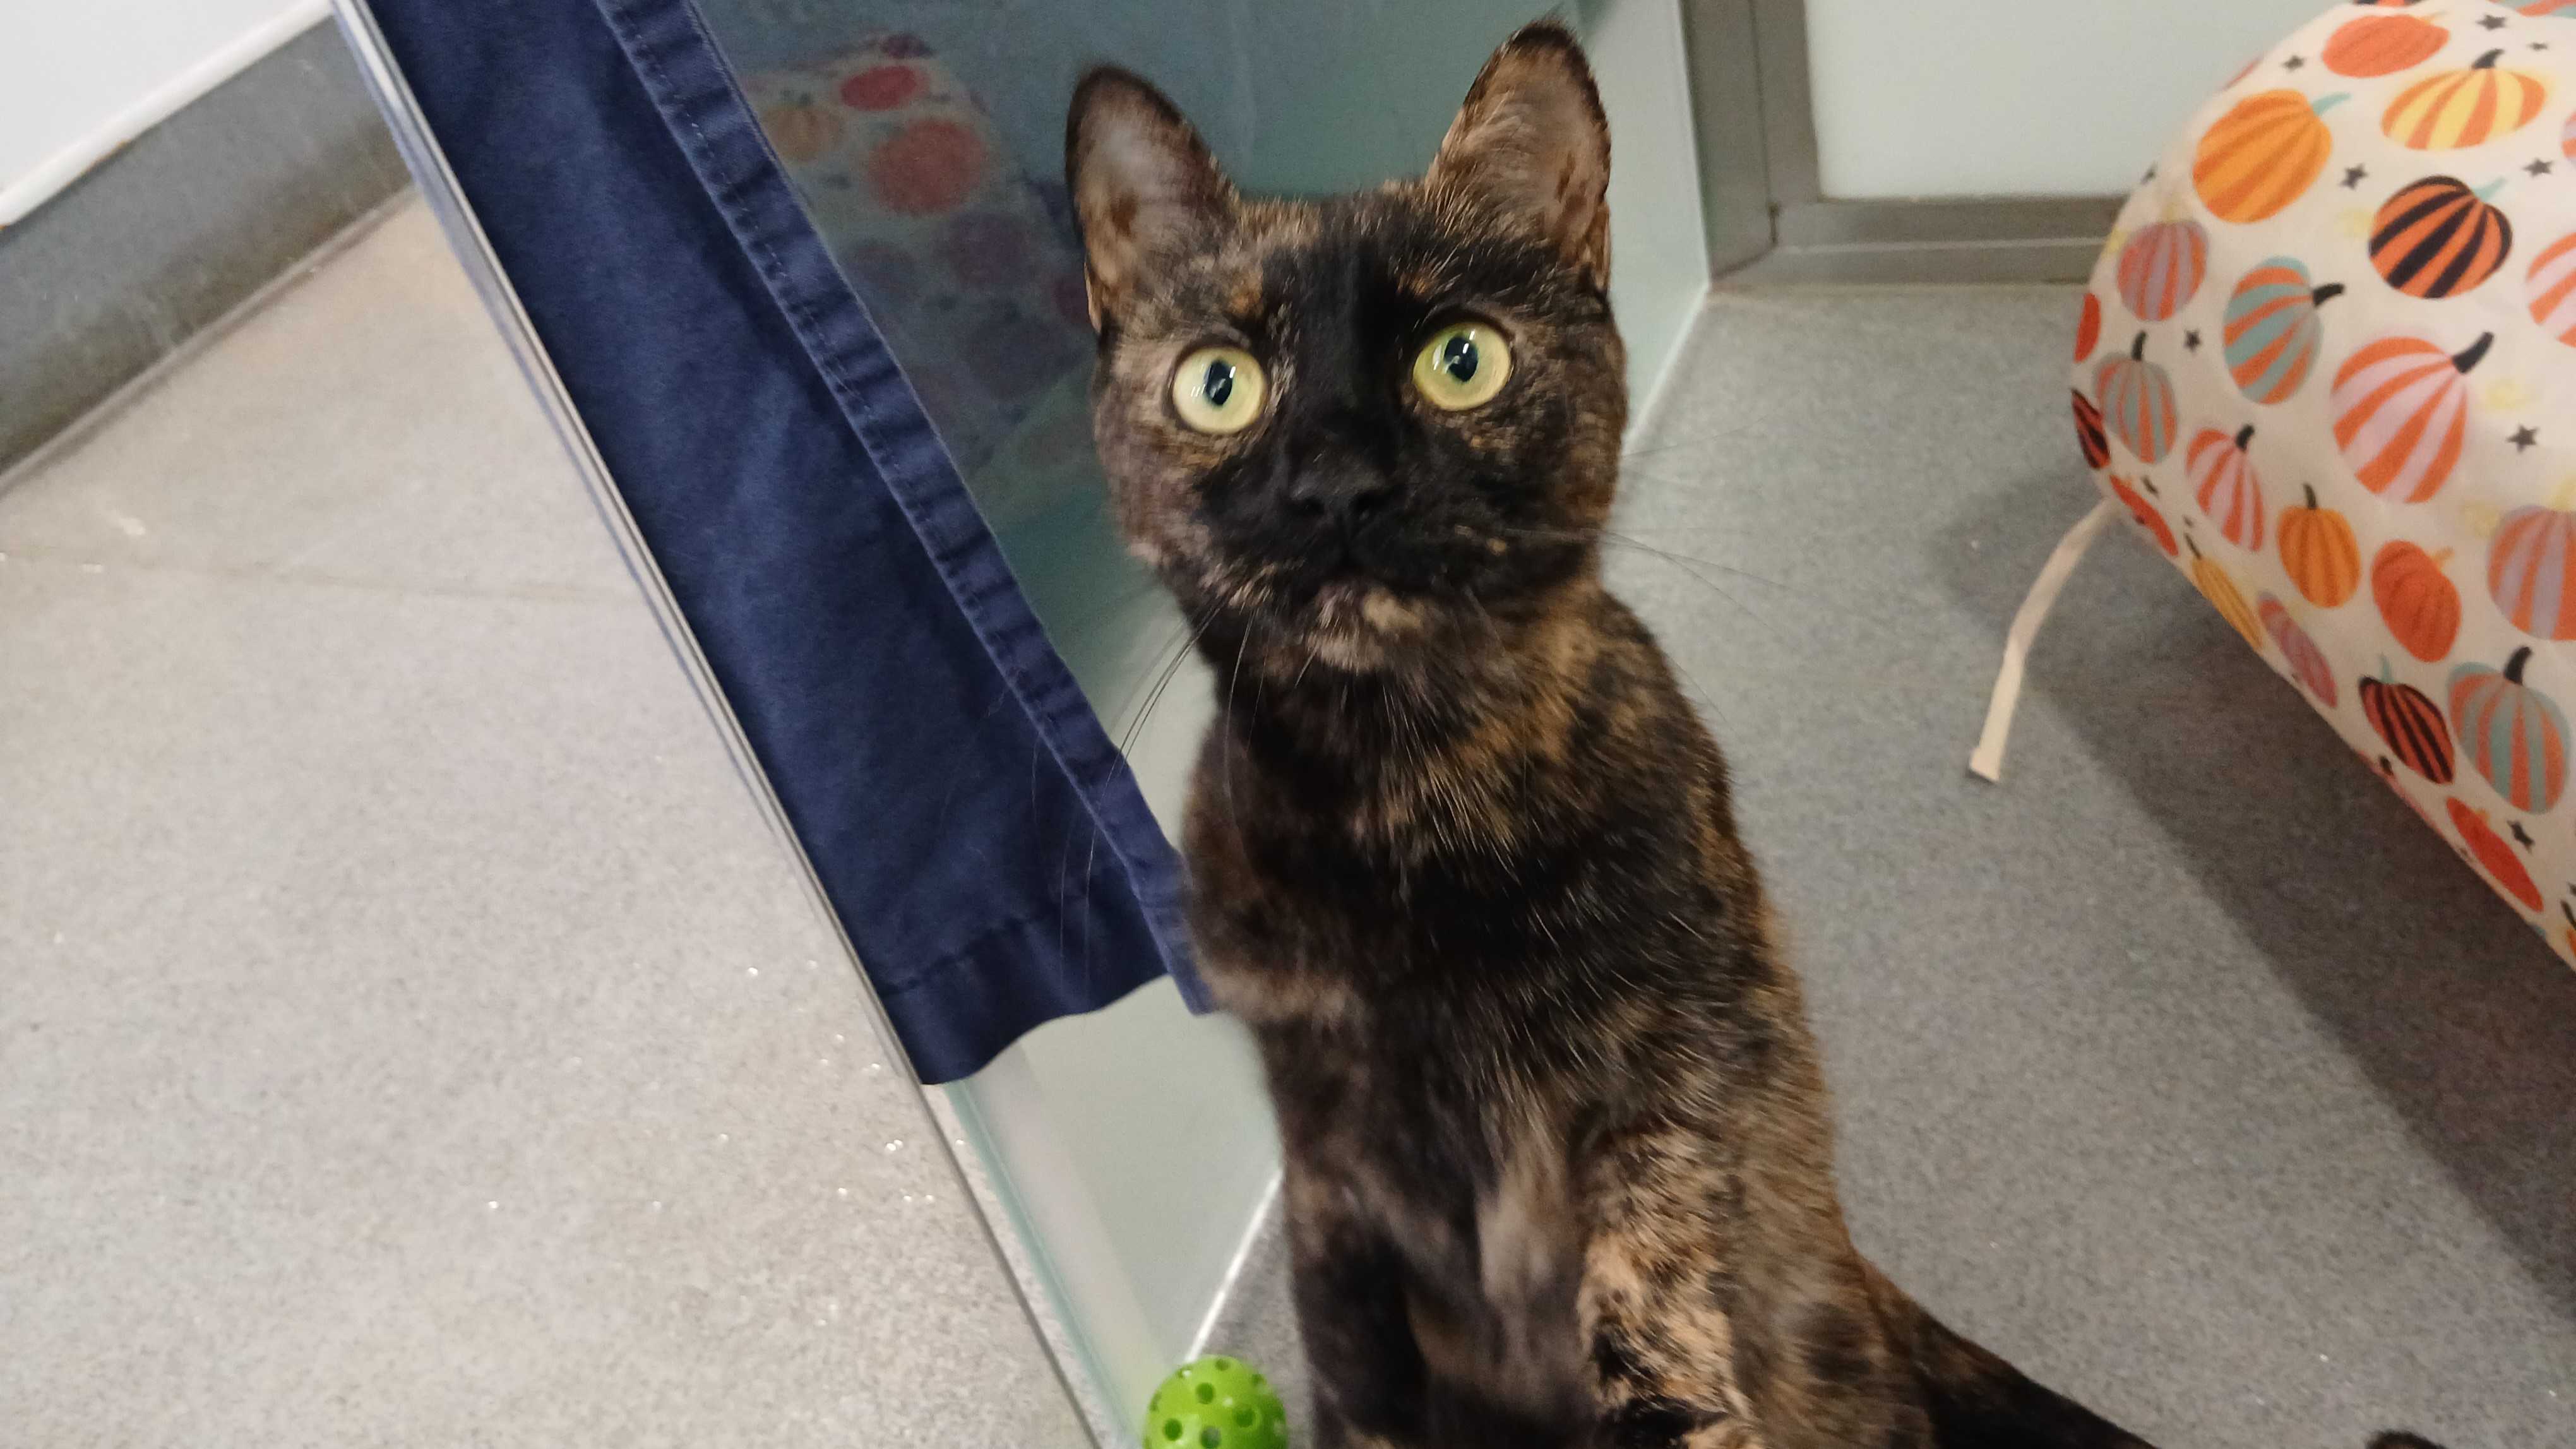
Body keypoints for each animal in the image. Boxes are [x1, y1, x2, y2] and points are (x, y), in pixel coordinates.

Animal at [1066, 22, 2446, 1449]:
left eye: (1460, 360)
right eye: (1219, 385)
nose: (1340, 483)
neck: (1404, 789)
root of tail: (1874, 1290)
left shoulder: (1685, 1038)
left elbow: (1654, 1243)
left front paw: (1667, 1398)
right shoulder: (1329, 1143)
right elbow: (1352, 1347)